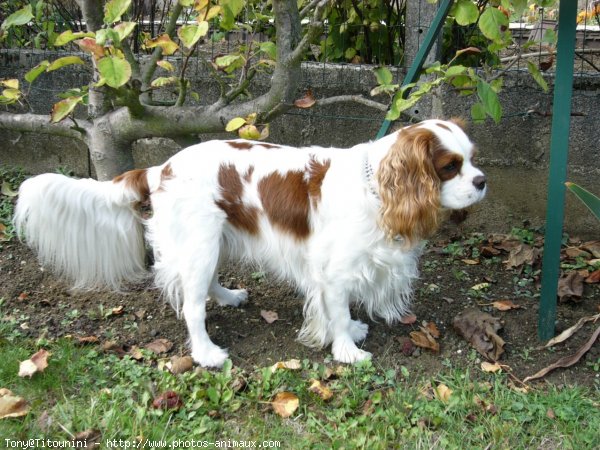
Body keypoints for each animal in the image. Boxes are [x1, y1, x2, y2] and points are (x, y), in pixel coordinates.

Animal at [12, 118, 488, 366]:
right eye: (450, 166)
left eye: (473, 159)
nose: (483, 181)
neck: (380, 187)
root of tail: (160, 168)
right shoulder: (334, 271)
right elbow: (337, 309)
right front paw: (347, 350)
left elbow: (338, 310)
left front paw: (349, 331)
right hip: (200, 242)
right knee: (192, 306)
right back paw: (206, 353)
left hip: (213, 240)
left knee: (203, 286)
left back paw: (229, 297)